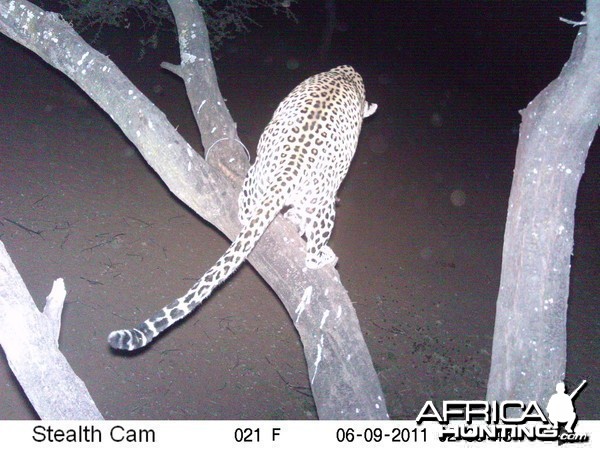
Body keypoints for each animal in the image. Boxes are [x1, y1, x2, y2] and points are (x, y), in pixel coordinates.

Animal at [108, 64, 376, 352]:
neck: (345, 74)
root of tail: (290, 165)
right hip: (324, 201)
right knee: (312, 253)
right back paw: (325, 255)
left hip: (256, 173)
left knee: (248, 212)